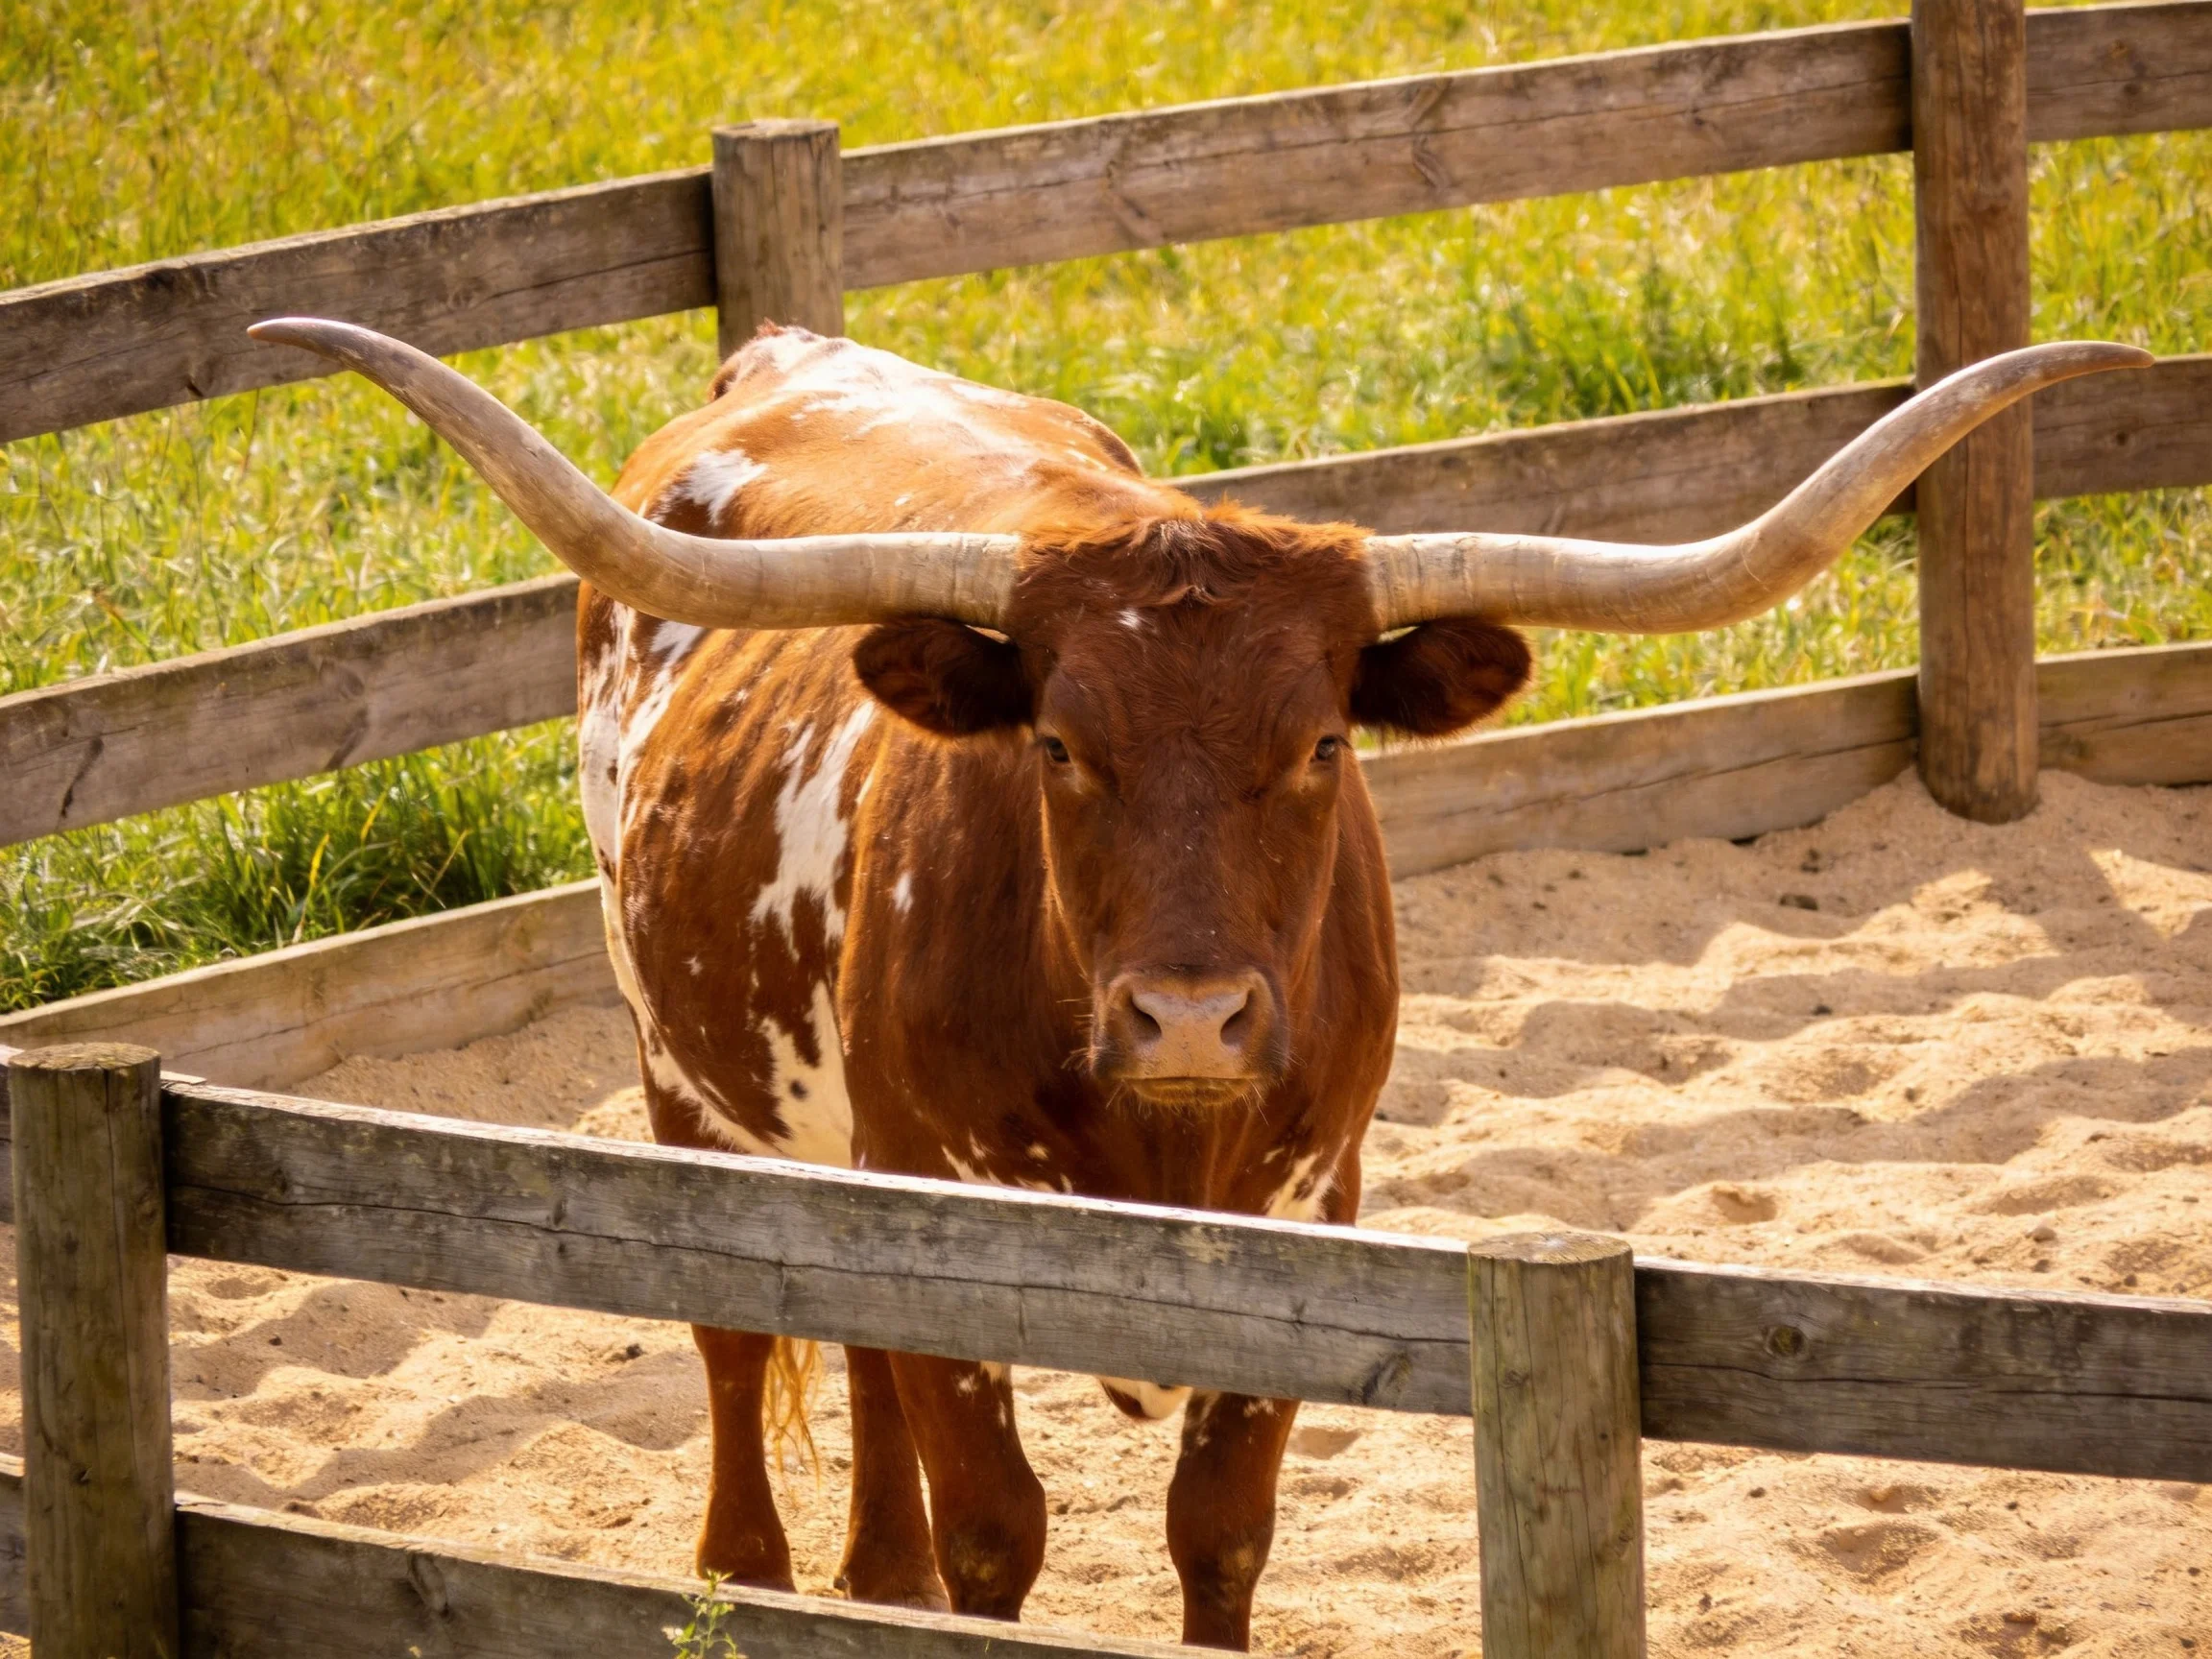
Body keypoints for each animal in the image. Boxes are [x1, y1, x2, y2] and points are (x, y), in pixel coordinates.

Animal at [252, 316, 2141, 1648]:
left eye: (1320, 744)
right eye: (1060, 745)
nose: (1188, 1017)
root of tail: (788, 347)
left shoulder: (1311, 1213)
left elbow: (1217, 1526)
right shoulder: (946, 1204)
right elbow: (995, 1527)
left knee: (851, 1361)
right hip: (681, 1071)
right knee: (736, 1341)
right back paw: (758, 1573)